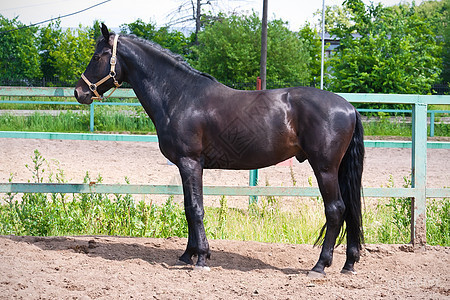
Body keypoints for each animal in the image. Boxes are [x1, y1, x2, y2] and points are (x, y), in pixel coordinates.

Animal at [74, 23, 364, 276]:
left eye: (97, 56)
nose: (79, 92)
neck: (179, 96)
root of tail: (349, 107)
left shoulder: (190, 162)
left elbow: (195, 208)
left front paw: (201, 258)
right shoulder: (188, 166)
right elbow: (189, 207)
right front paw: (187, 255)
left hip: (324, 168)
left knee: (335, 209)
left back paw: (320, 266)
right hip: (336, 170)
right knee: (350, 209)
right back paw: (348, 264)